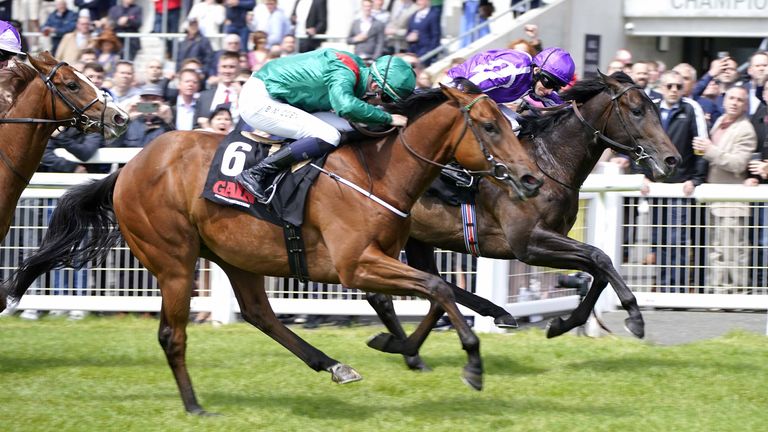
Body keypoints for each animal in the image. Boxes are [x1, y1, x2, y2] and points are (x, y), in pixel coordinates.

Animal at [4, 82, 544, 416]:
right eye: (490, 127)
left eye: (512, 124)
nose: (531, 179)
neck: (378, 171)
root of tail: (128, 168)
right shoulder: (355, 265)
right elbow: (437, 288)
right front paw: (472, 363)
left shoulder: (386, 258)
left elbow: (439, 293)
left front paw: (410, 345)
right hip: (174, 259)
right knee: (172, 335)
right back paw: (194, 405)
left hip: (235, 256)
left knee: (260, 314)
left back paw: (333, 365)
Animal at [360, 72, 680, 370]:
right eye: (637, 110)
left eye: (656, 107)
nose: (672, 159)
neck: (549, 164)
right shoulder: (528, 244)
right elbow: (599, 257)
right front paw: (635, 317)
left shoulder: (550, 238)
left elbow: (598, 269)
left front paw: (561, 324)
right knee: (393, 292)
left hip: (418, 237)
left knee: (425, 284)